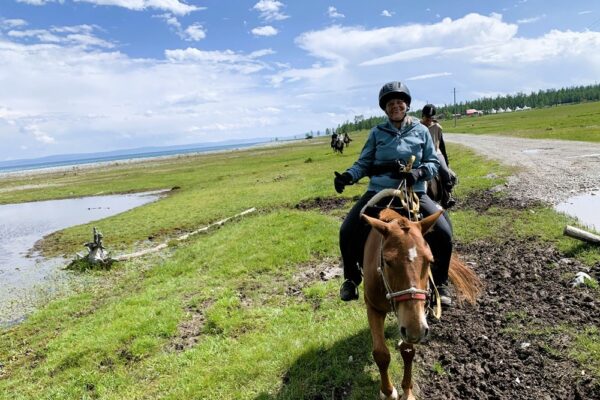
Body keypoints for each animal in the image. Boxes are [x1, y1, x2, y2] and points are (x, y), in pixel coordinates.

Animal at [358, 189, 480, 398]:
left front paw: (407, 391)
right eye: (387, 261)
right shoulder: (373, 308)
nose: (416, 330)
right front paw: (388, 391)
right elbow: (381, 353)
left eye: (430, 260)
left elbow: (408, 351)